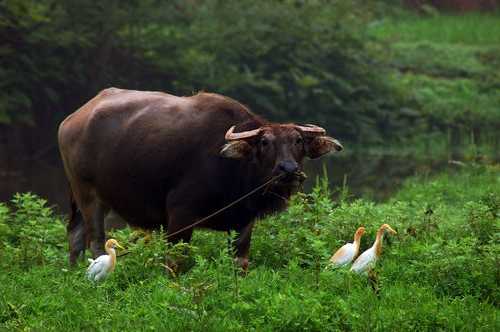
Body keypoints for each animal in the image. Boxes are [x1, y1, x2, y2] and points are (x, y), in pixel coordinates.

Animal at [56, 87, 342, 270]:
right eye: (264, 142)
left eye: (298, 141)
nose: (288, 169)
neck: (234, 170)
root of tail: (71, 120)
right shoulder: (179, 217)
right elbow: (176, 261)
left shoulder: (243, 222)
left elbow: (240, 262)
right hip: (88, 195)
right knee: (95, 241)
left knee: (75, 235)